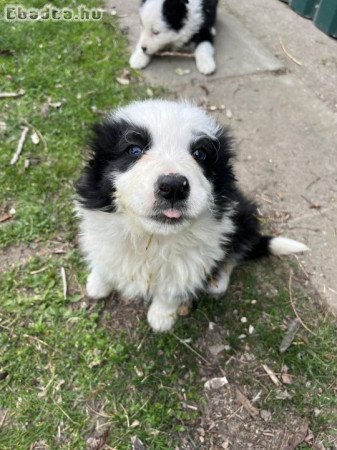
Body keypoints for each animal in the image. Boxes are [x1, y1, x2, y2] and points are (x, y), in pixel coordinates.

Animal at [76, 100, 308, 332]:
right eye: (133, 149)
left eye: (200, 153)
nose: (173, 187)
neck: (153, 239)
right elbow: (105, 258)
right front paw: (98, 283)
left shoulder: (190, 261)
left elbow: (173, 287)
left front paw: (161, 317)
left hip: (243, 216)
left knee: (236, 249)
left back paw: (218, 282)